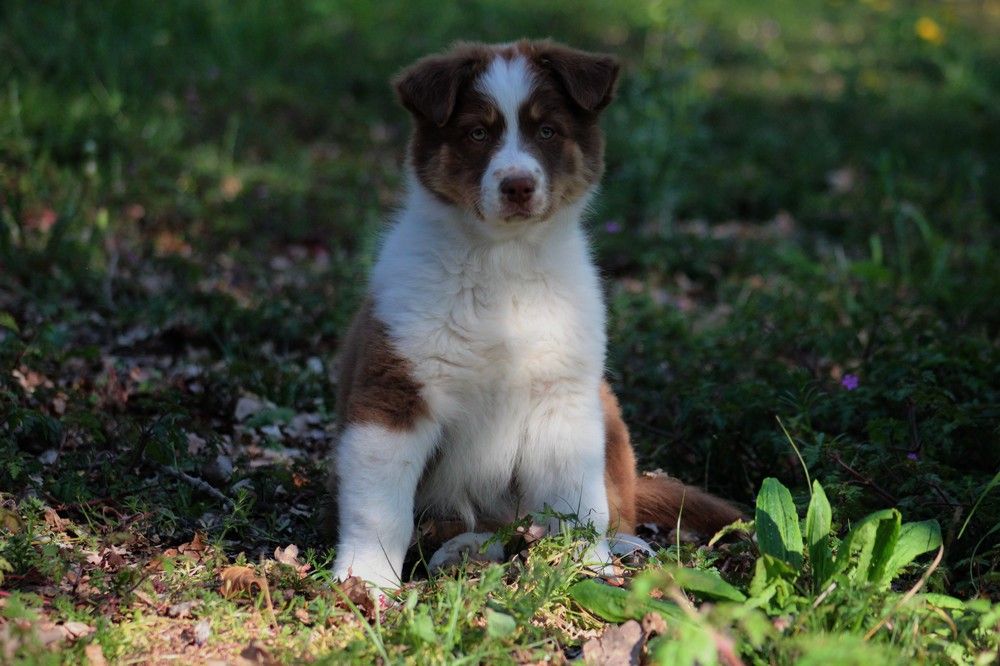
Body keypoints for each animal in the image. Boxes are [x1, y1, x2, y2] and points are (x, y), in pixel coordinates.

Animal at [332, 40, 740, 588]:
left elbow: (578, 500)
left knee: (617, 501)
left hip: (605, 410)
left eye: (547, 131)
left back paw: (625, 545)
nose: (518, 186)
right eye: (477, 133)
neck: (503, 261)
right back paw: (463, 550)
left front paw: (587, 566)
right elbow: (378, 505)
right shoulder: (393, 389)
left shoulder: (563, 396)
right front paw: (365, 580)